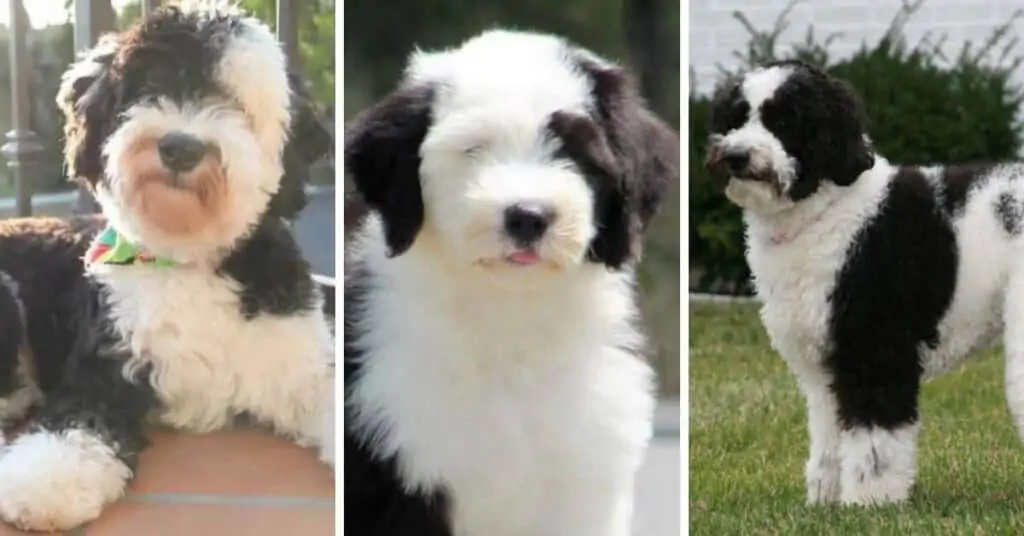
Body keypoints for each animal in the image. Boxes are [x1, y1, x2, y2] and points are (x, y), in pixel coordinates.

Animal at [0, 5, 335, 532]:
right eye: (148, 86)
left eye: (233, 102)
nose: (181, 147)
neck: (185, 257)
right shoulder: (103, 364)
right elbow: (77, 423)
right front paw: (44, 480)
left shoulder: (298, 363)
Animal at [704, 59, 1024, 508]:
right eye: (736, 118)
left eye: (784, 121)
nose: (735, 155)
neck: (828, 210)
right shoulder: (825, 368)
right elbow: (829, 436)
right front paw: (824, 500)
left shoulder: (875, 348)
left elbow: (874, 437)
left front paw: (869, 502)